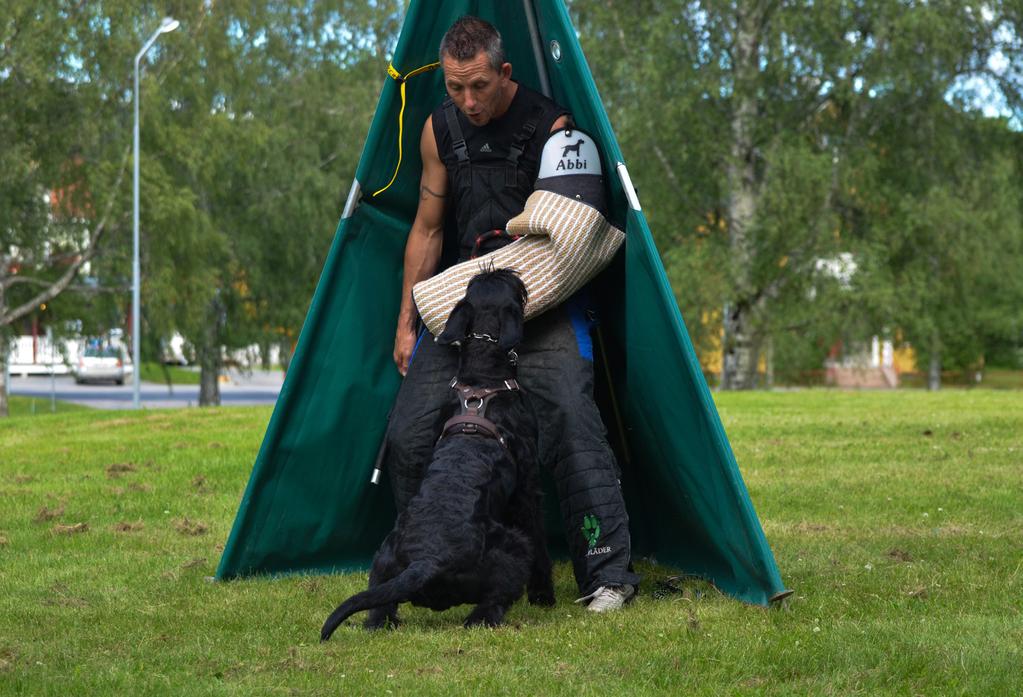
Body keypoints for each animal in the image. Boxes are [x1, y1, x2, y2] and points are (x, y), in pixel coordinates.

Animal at [323, 268, 556, 638]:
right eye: (512, 288)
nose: (506, 271)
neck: (482, 376)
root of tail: (426, 561)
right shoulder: (527, 484)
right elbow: (537, 528)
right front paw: (544, 593)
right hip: (511, 548)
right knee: (489, 605)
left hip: (383, 558)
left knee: (379, 609)